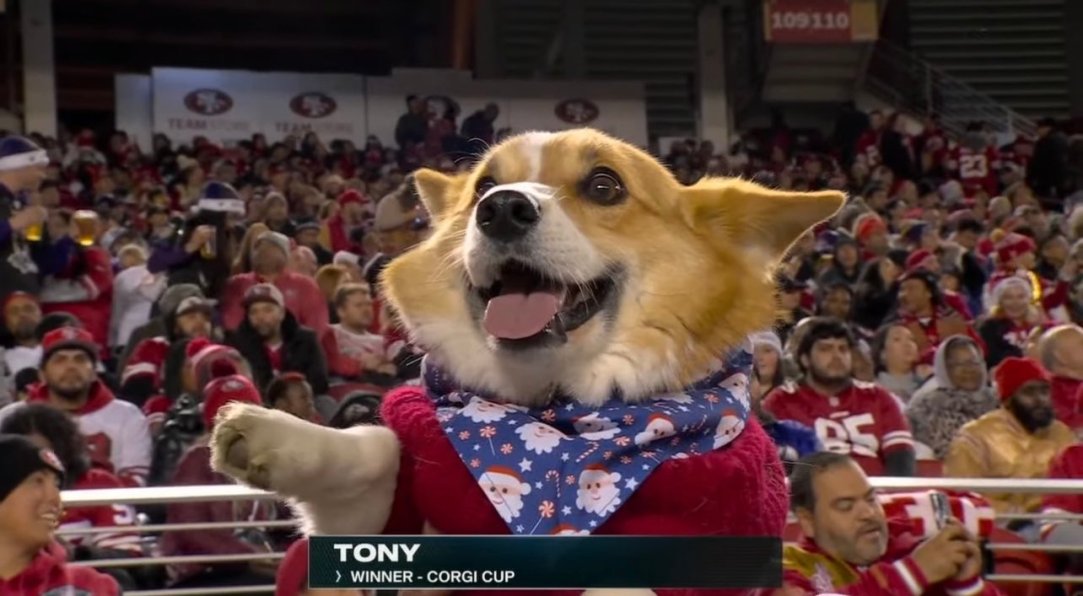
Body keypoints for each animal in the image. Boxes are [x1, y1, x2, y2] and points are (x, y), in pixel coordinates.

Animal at [211, 128, 844, 567]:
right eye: (483, 186)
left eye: (605, 185)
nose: (501, 208)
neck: (556, 423)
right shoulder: (386, 516)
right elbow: (373, 447)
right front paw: (278, 435)